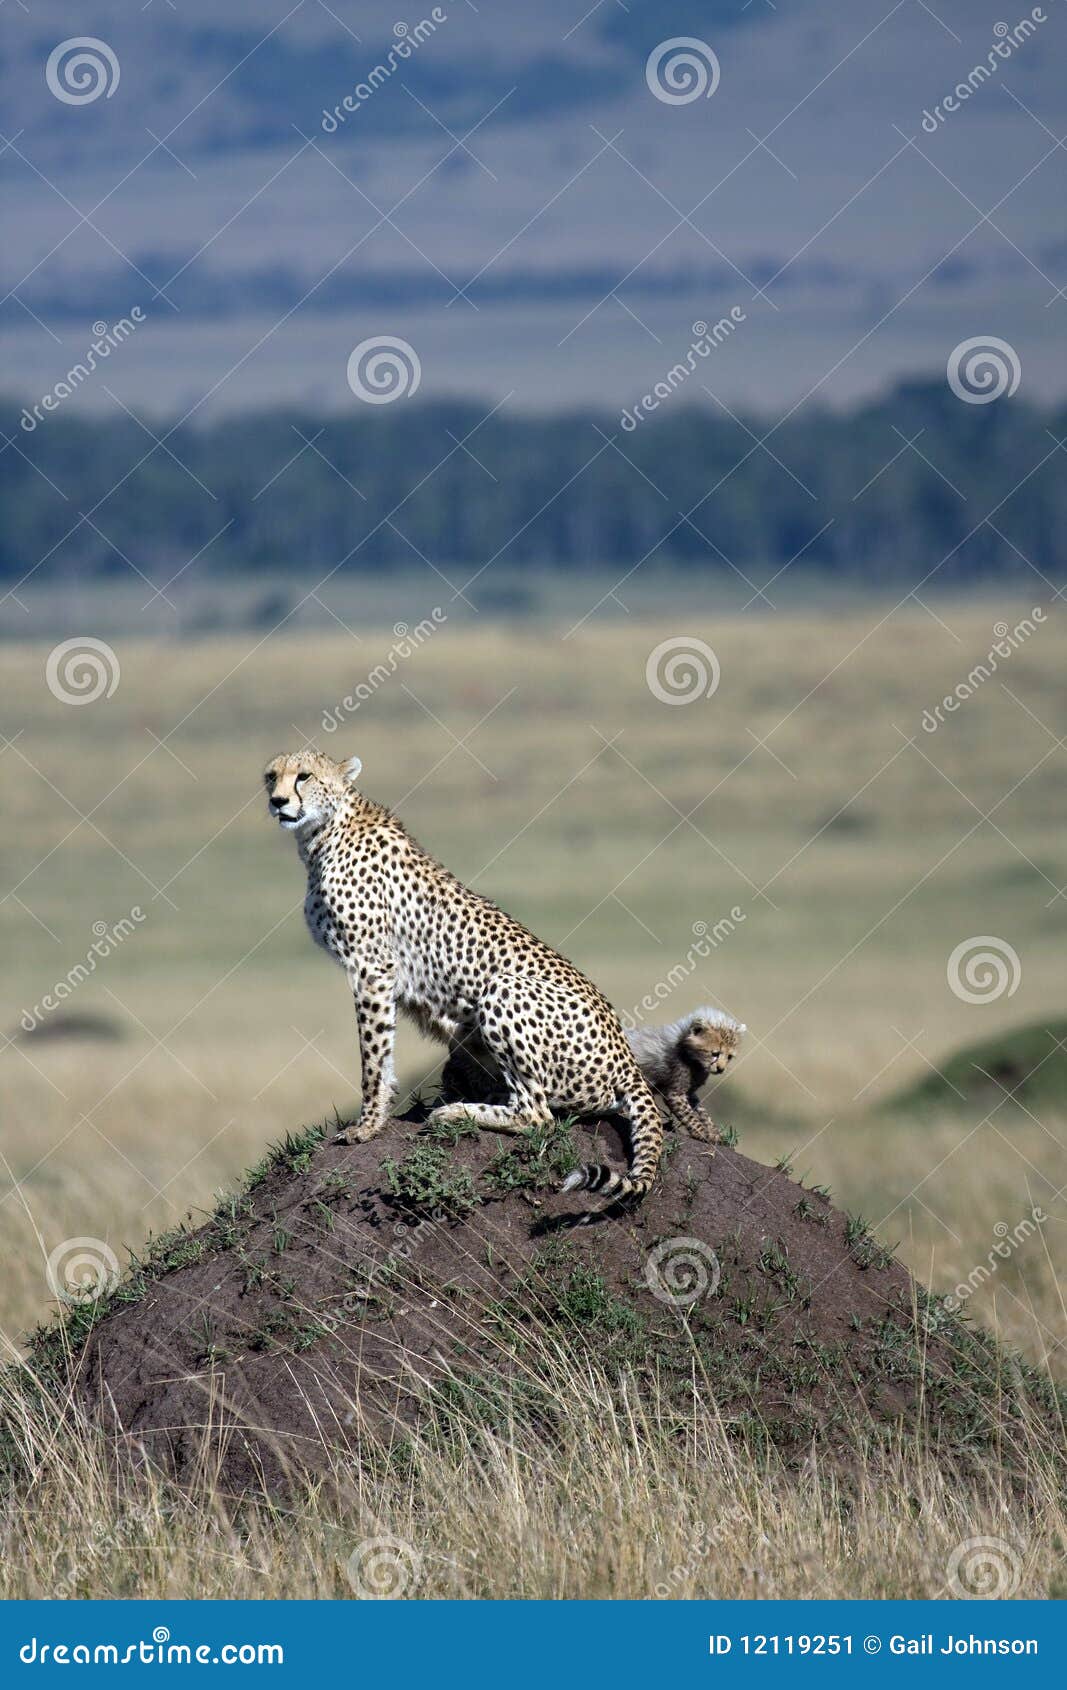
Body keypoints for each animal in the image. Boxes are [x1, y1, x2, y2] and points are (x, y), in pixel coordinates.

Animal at [265, 753, 669, 1203]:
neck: (324, 832)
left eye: (304, 776)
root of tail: (629, 1060)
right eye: (271, 777)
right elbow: (382, 1053)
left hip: (504, 990)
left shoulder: (371, 967)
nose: (278, 801)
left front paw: (367, 1125)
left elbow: (373, 1054)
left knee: (539, 1114)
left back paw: (455, 1111)